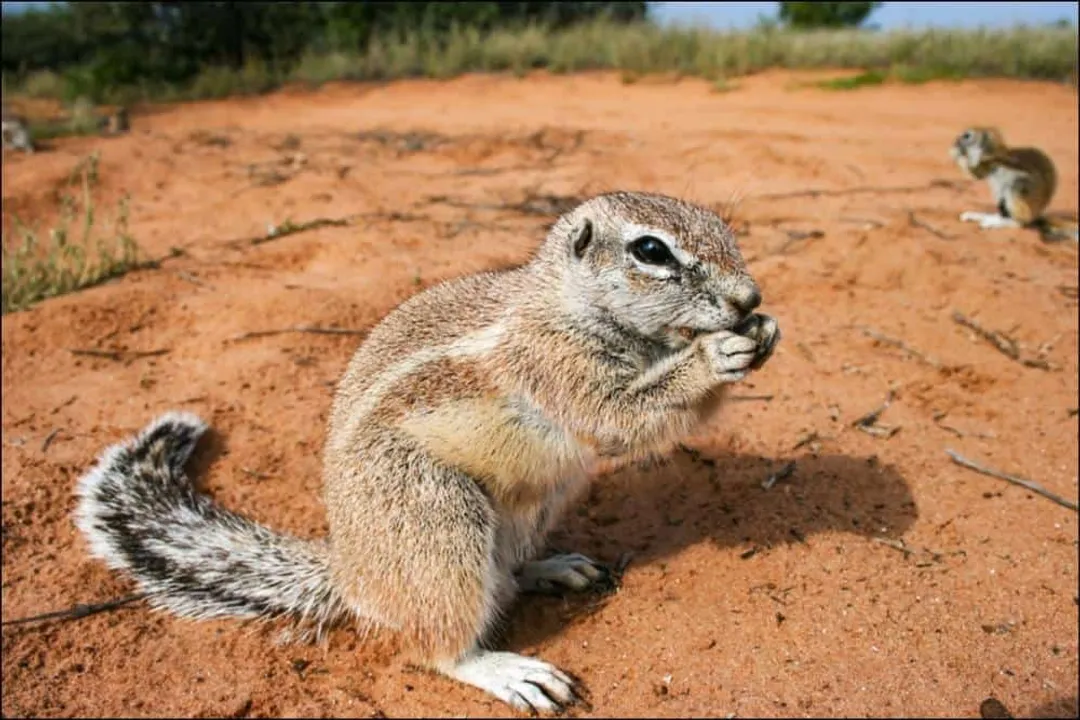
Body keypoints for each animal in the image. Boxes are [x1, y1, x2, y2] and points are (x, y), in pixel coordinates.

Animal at [74, 191, 781, 714]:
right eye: (650, 250)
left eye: (723, 226)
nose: (749, 298)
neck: (565, 302)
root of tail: (352, 575)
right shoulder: (553, 363)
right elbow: (623, 417)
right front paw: (716, 354)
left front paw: (762, 334)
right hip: (436, 514)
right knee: (435, 644)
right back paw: (503, 670)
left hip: (530, 505)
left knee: (503, 575)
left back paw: (550, 569)